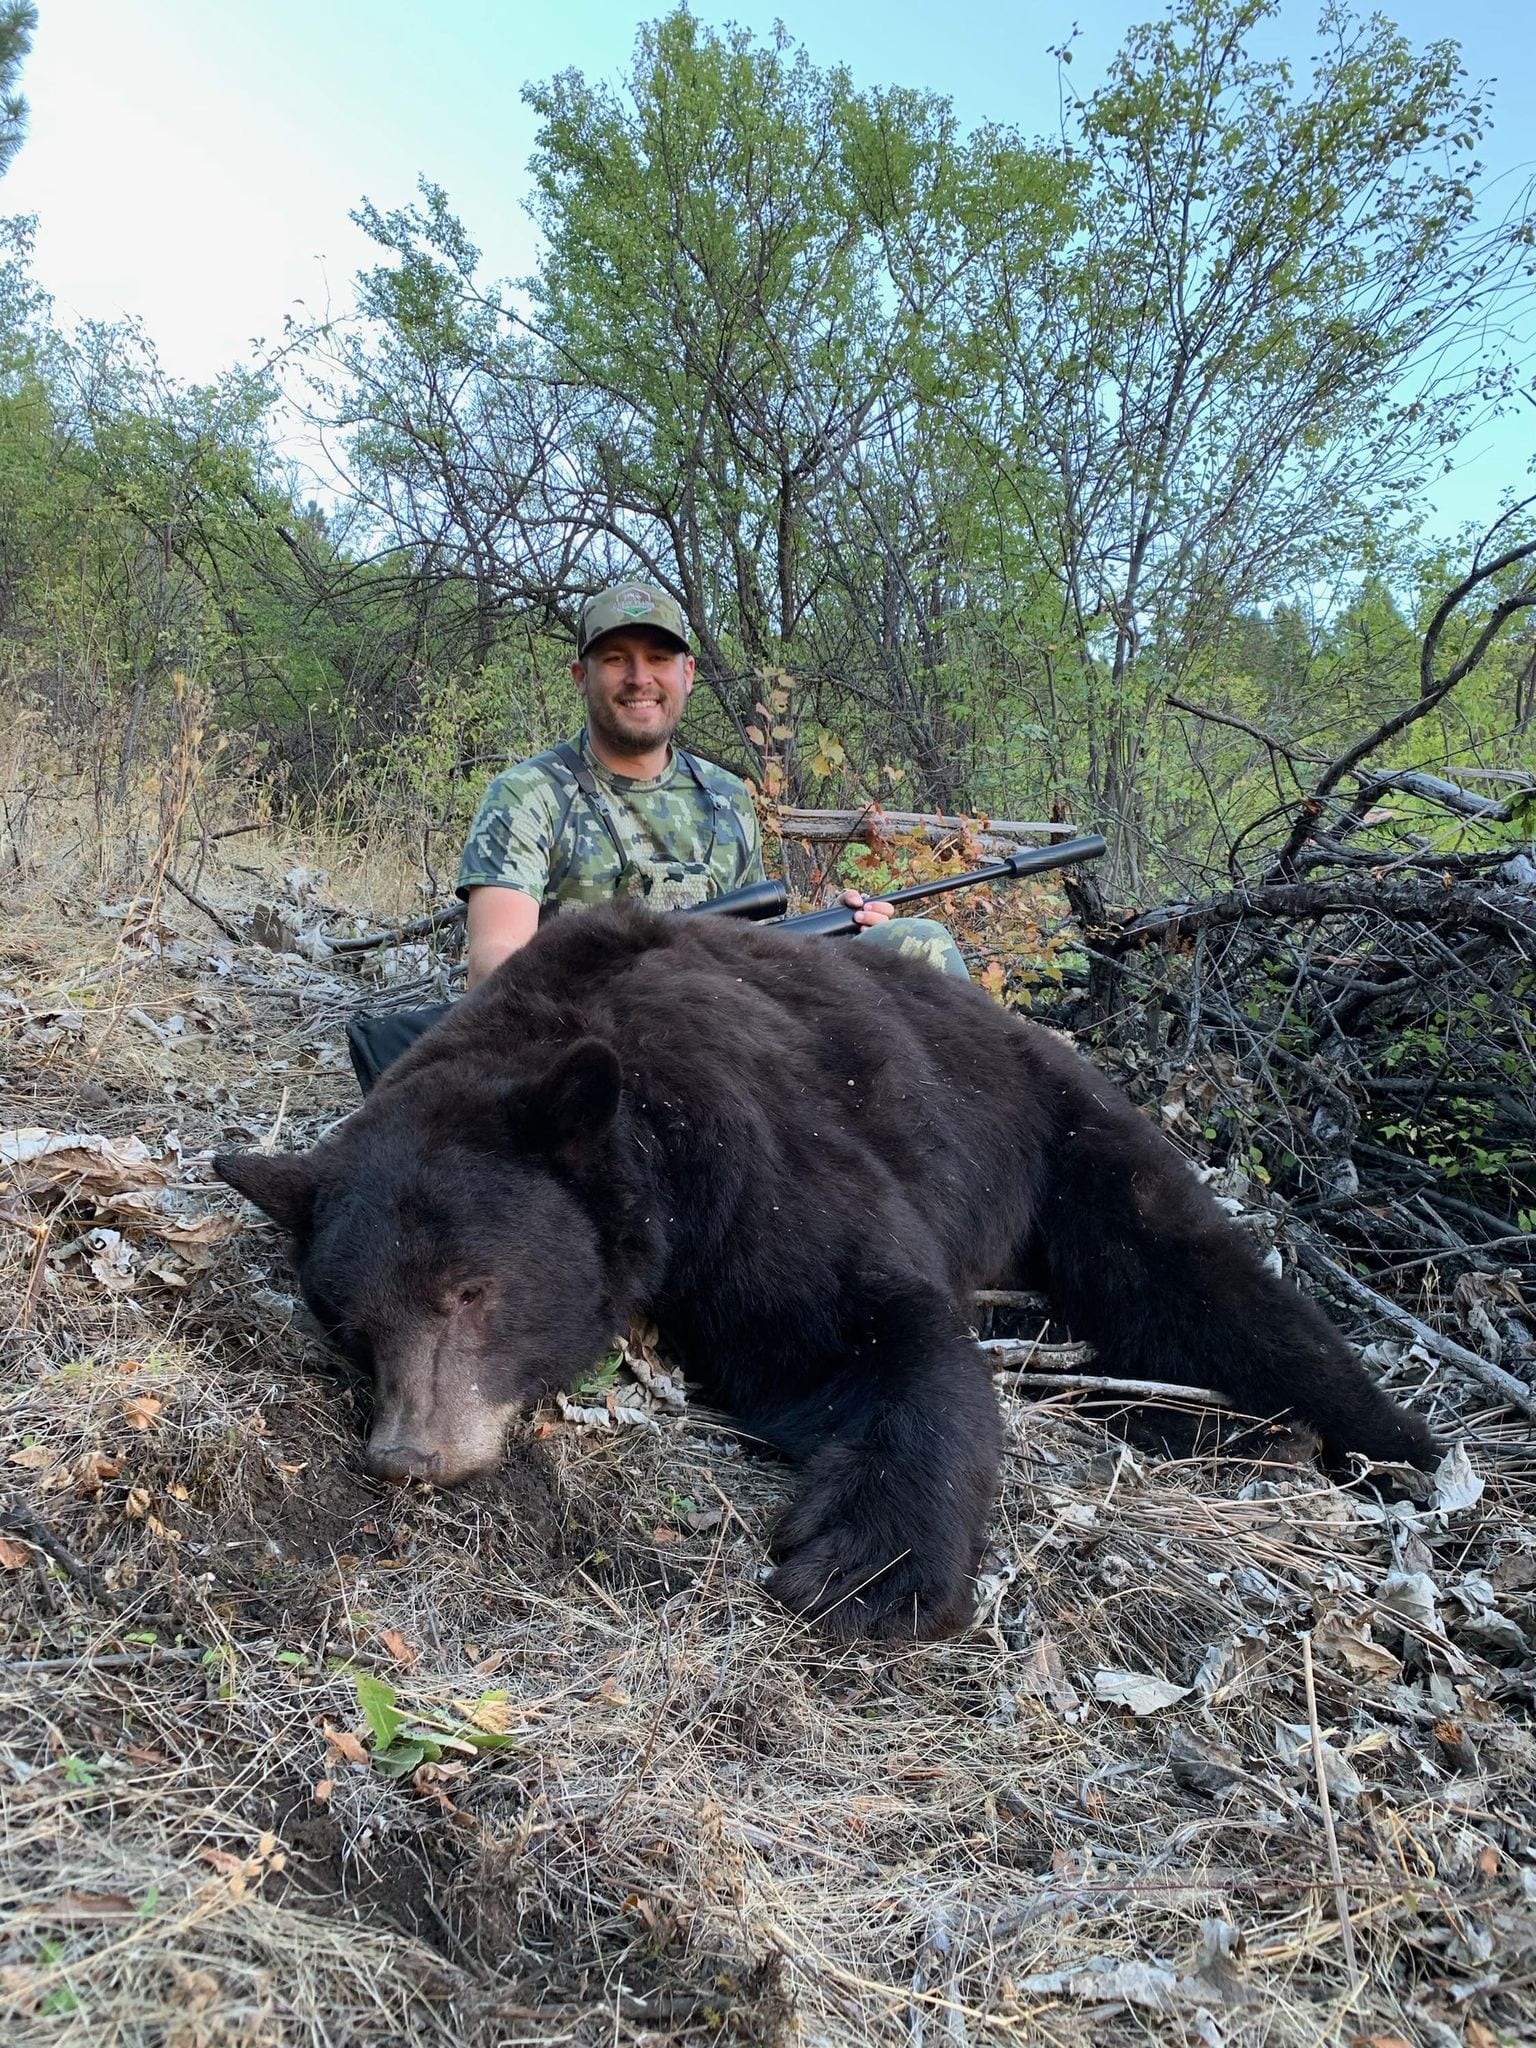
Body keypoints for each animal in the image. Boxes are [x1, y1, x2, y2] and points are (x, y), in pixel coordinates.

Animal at [215, 903, 1435, 1641]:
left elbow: (870, 1324)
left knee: (1189, 1270)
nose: (406, 1455)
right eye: (347, 1321)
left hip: (1056, 1127)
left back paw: (1385, 1442)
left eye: (472, 1289)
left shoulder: (753, 1145)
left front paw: (870, 1566)